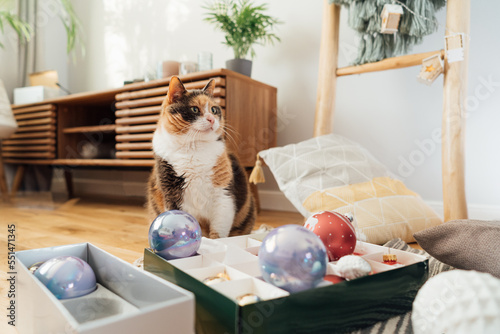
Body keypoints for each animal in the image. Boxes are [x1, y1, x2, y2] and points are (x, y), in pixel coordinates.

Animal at [145, 76, 254, 237]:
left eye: (214, 109)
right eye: (195, 109)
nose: (211, 119)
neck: (194, 148)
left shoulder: (223, 196)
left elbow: (218, 233)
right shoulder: (171, 193)